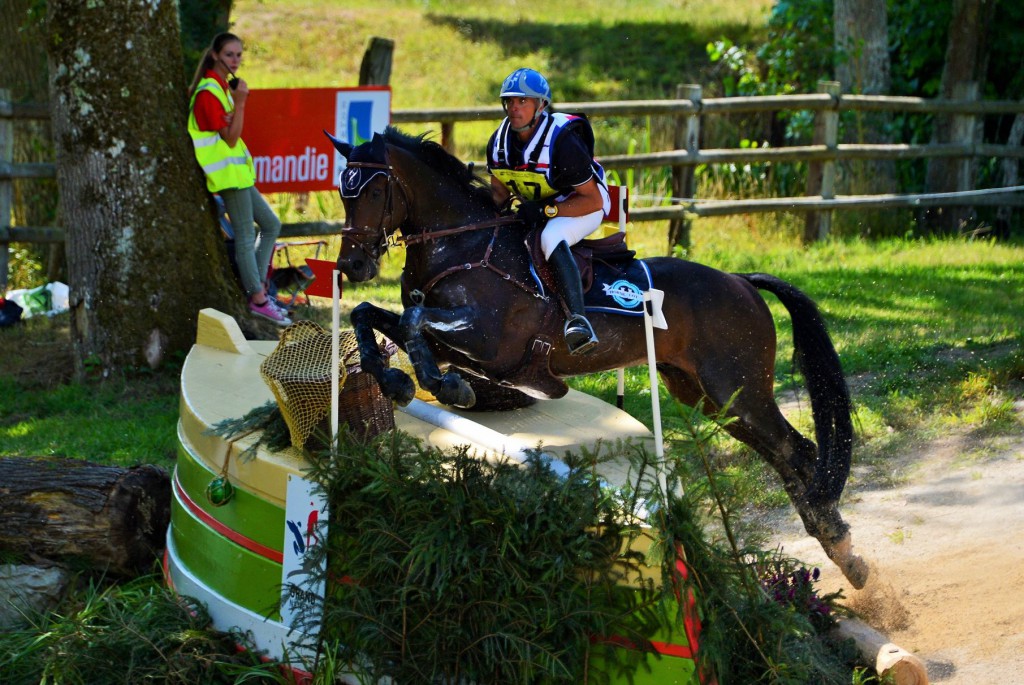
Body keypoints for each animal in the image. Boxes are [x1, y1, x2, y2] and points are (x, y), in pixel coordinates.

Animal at [325, 126, 864, 589]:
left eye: (372, 192)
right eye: (343, 193)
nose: (352, 264)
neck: (462, 244)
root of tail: (742, 282)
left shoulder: (490, 342)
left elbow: (415, 323)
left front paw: (447, 385)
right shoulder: (451, 338)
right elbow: (372, 314)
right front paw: (393, 381)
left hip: (740, 391)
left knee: (799, 451)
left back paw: (840, 545)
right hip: (709, 398)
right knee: (785, 457)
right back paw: (843, 553)